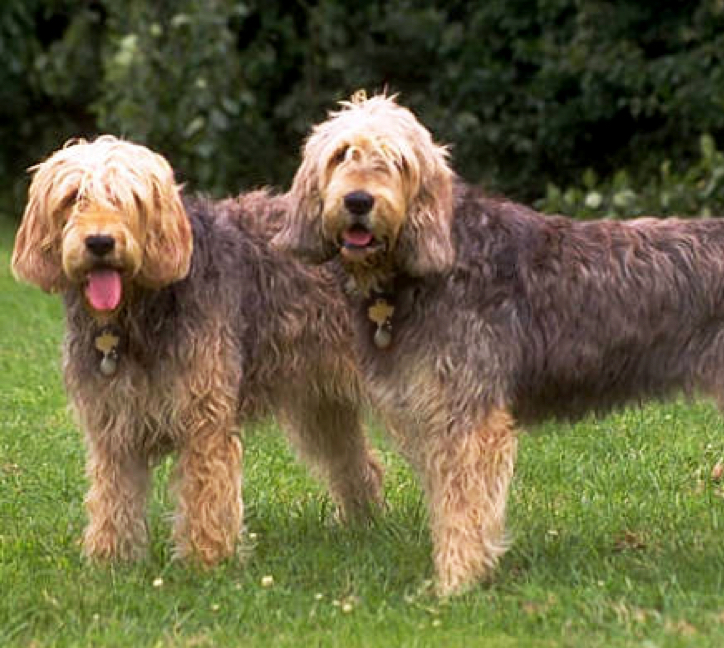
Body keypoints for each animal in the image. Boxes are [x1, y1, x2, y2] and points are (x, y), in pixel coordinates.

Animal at [12, 138, 384, 568]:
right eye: (73, 197)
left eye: (129, 198)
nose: (100, 243)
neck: (136, 312)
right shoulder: (113, 425)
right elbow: (113, 498)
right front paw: (110, 561)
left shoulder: (203, 417)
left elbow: (206, 496)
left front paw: (208, 562)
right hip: (321, 404)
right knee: (359, 463)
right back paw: (362, 523)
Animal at [276, 93, 724, 596]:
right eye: (341, 155)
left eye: (396, 161)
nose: (358, 201)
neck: (436, 260)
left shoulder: (468, 420)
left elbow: (463, 507)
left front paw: (454, 583)